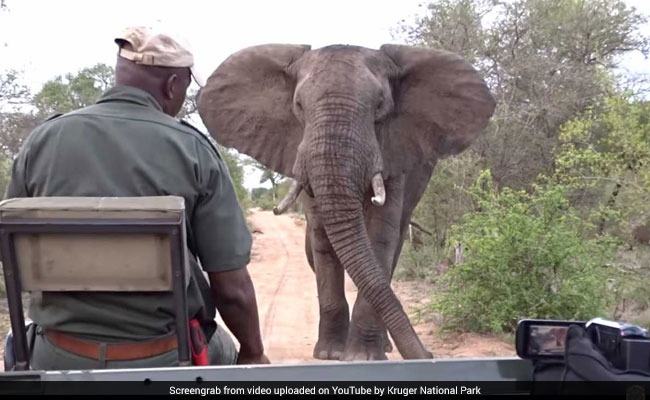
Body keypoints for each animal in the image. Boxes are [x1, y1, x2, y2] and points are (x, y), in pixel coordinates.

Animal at [196, 43, 492, 360]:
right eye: (298, 105)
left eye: (380, 105)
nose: (428, 356)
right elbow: (323, 240)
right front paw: (329, 355)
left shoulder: (394, 154)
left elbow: (380, 238)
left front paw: (362, 357)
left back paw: (383, 347)